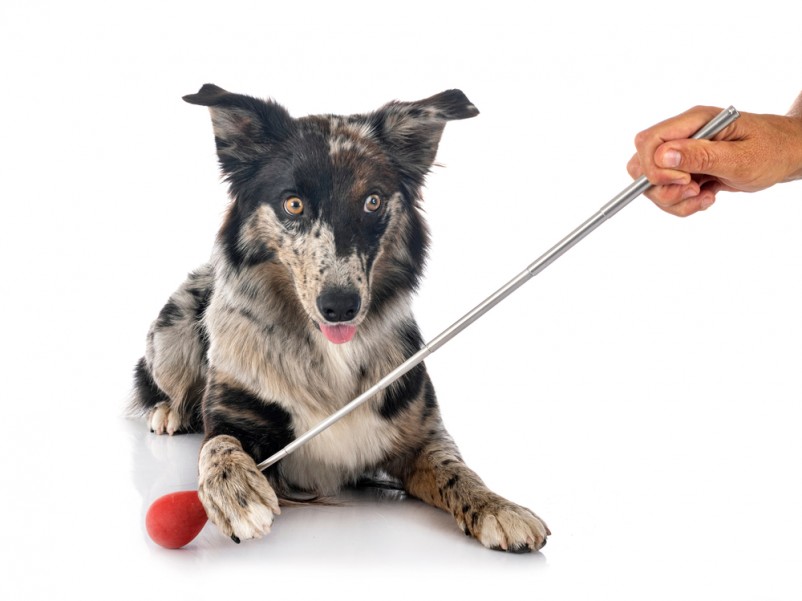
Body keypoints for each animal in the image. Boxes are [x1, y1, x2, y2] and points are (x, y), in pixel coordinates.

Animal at [131, 82, 548, 552]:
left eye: (373, 201)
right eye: (293, 204)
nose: (340, 305)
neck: (329, 357)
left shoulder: (420, 432)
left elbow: (456, 467)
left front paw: (499, 506)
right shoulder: (232, 412)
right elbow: (217, 443)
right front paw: (233, 491)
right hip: (173, 332)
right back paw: (170, 410)